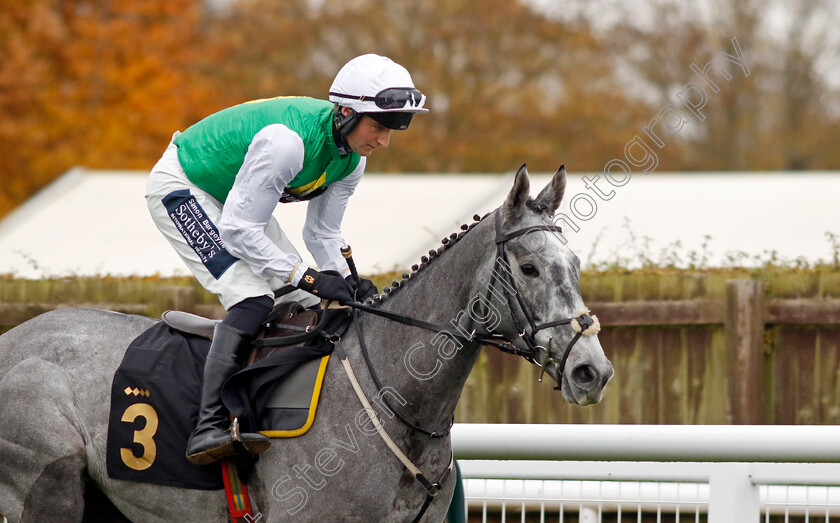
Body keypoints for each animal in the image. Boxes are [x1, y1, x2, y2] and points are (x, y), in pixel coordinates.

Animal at [1, 166, 616, 520]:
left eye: (575, 264)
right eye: (530, 268)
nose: (592, 371)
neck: (394, 403)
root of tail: (15, 338)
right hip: (43, 488)